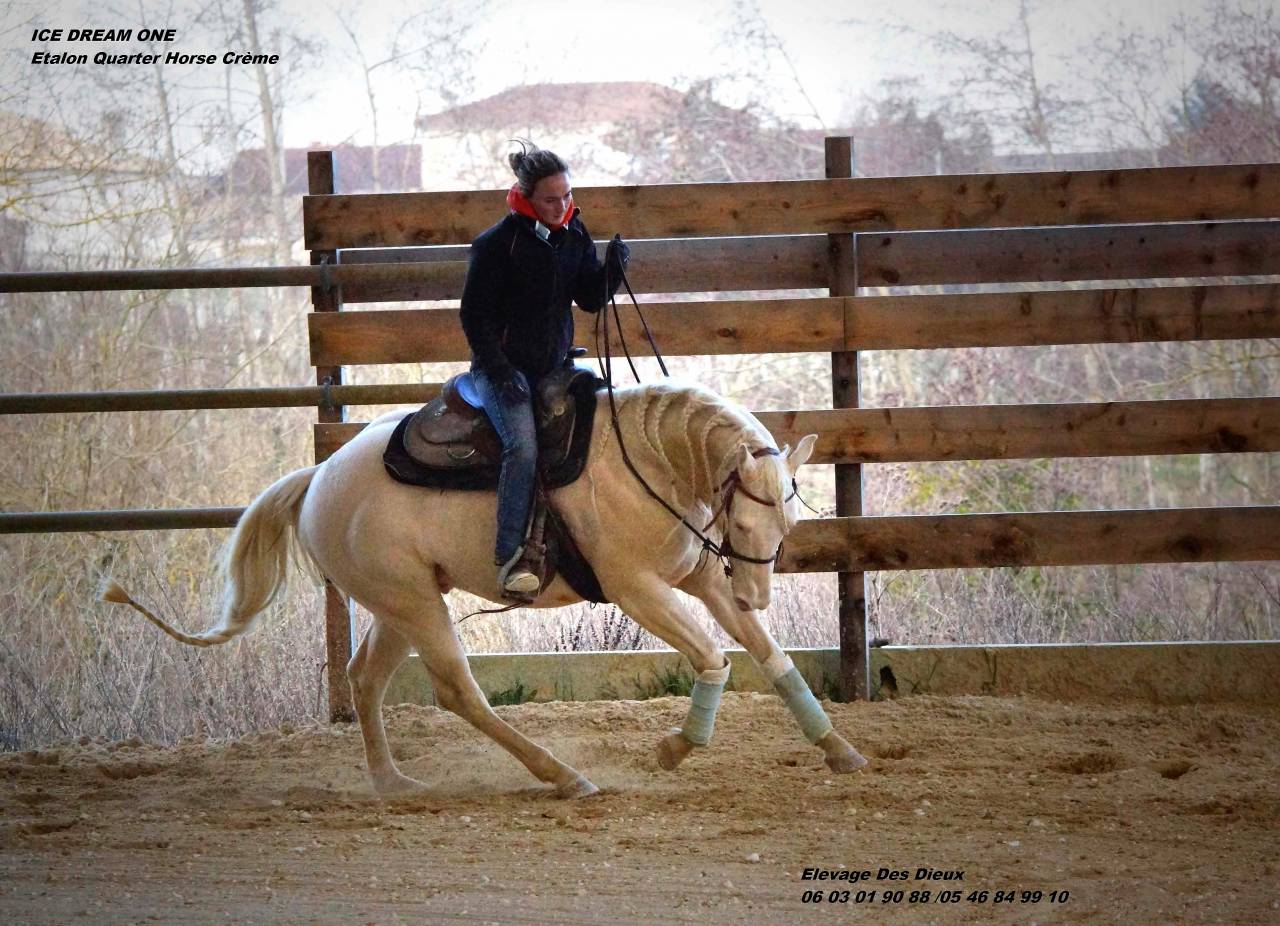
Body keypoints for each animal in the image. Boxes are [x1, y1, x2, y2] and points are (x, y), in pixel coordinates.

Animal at [103, 380, 868, 798]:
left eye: (789, 521)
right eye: (745, 516)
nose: (756, 595)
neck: (646, 461)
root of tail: (317, 478)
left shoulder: (700, 577)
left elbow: (772, 659)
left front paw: (839, 751)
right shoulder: (638, 589)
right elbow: (714, 659)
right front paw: (675, 749)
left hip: (397, 605)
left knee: (365, 679)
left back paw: (392, 783)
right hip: (415, 607)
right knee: (457, 692)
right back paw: (562, 775)